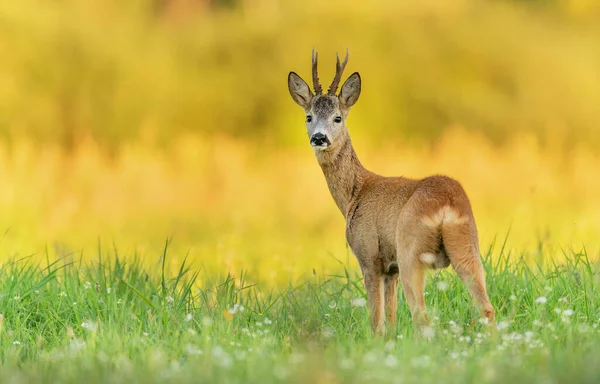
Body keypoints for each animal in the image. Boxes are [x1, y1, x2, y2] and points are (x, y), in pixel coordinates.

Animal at [288, 49, 494, 334]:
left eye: (337, 117)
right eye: (308, 116)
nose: (319, 137)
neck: (355, 193)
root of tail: (446, 203)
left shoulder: (369, 256)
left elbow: (377, 322)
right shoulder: (391, 268)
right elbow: (392, 318)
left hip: (411, 251)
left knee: (422, 317)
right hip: (467, 246)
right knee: (486, 308)